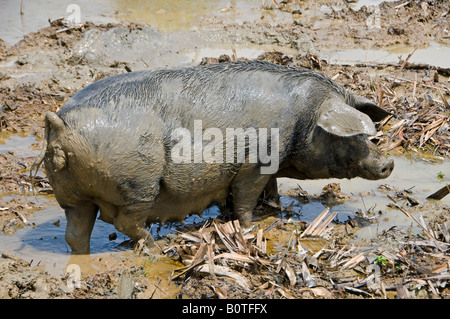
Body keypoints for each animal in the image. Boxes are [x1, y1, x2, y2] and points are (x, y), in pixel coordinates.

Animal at [34, 61, 394, 254]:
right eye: (355, 136)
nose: (388, 163)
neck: (303, 119)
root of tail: (60, 124)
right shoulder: (255, 163)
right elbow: (246, 197)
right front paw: (251, 227)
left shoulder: (270, 166)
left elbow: (272, 189)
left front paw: (276, 213)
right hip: (137, 182)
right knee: (127, 222)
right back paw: (155, 246)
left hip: (72, 193)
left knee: (75, 231)